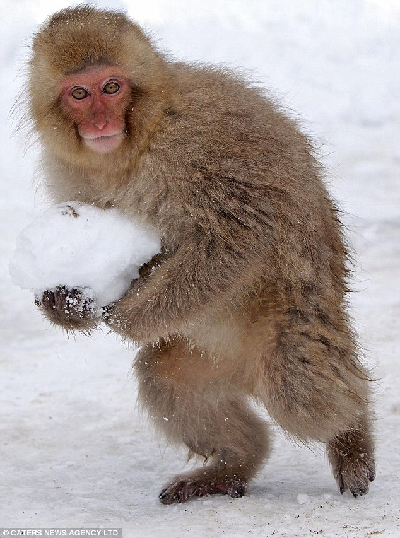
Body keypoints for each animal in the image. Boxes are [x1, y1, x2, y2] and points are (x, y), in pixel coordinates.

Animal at [27, 6, 376, 502]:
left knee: (297, 386)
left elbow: (238, 235)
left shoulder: (201, 140)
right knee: (165, 378)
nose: (99, 123)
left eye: (111, 87)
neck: (137, 143)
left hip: (293, 319)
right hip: (204, 353)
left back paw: (351, 435)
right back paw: (233, 464)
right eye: (79, 93)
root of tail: (246, 372)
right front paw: (66, 305)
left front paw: (122, 317)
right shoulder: (75, 176)